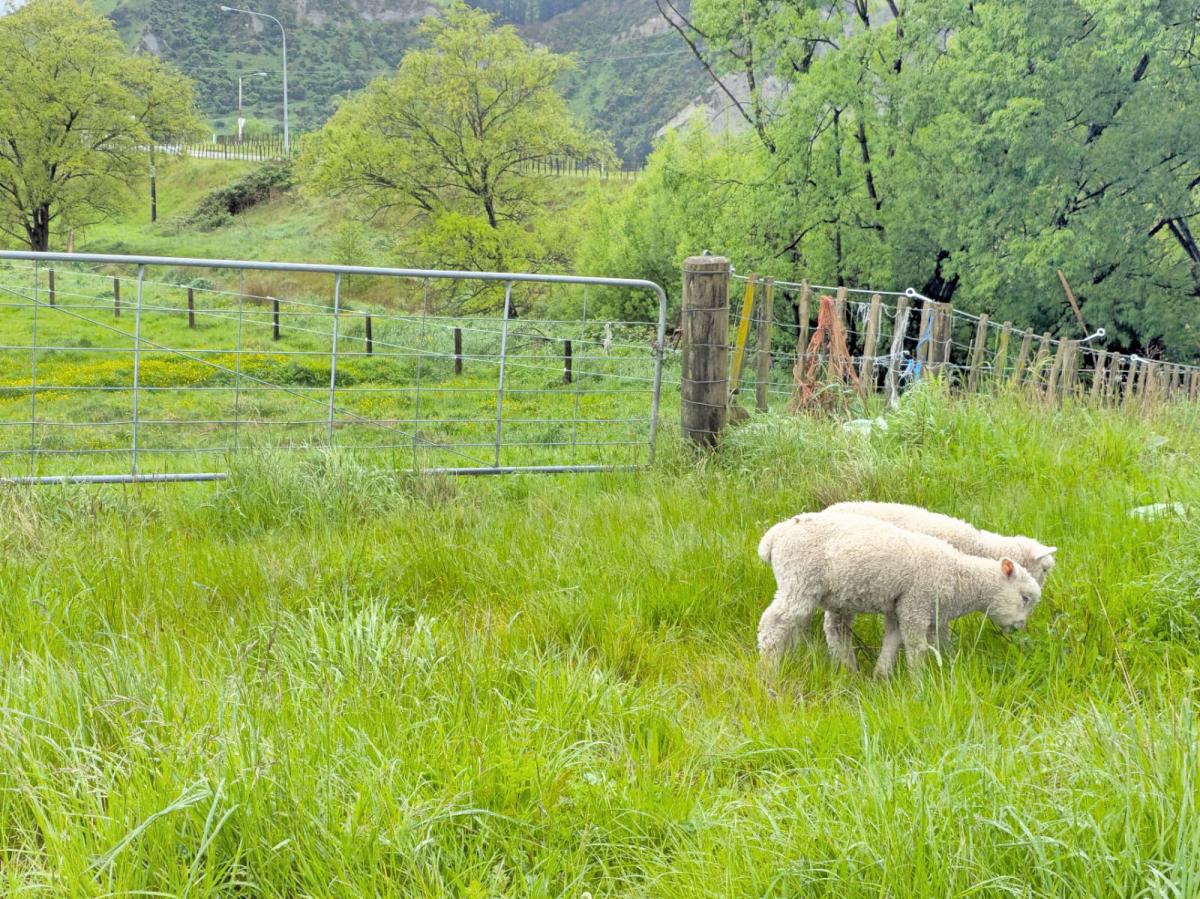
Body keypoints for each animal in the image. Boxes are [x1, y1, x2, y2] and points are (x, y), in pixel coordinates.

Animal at [756, 512, 1042, 676]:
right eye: (1025, 598)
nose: (1019, 627)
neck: (957, 574)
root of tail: (774, 537)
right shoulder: (917, 605)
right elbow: (916, 646)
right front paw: (919, 682)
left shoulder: (899, 609)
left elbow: (893, 642)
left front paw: (881, 677)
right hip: (799, 578)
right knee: (774, 623)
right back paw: (769, 669)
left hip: (828, 593)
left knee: (830, 628)